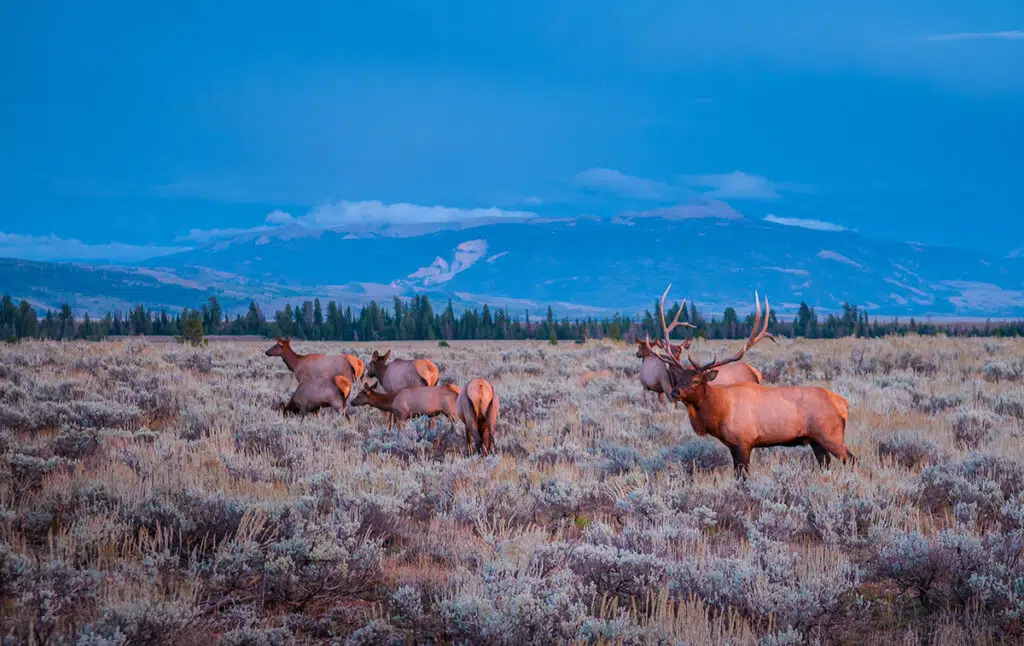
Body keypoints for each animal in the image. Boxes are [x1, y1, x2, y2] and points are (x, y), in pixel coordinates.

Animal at [645, 285, 854, 476]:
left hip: (831, 435)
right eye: (679, 378)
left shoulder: (743, 443)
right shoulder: (732, 446)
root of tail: (844, 403)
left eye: (696, 380)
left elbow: (742, 478)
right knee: (826, 464)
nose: (675, 392)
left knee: (851, 459)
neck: (719, 411)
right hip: (816, 441)